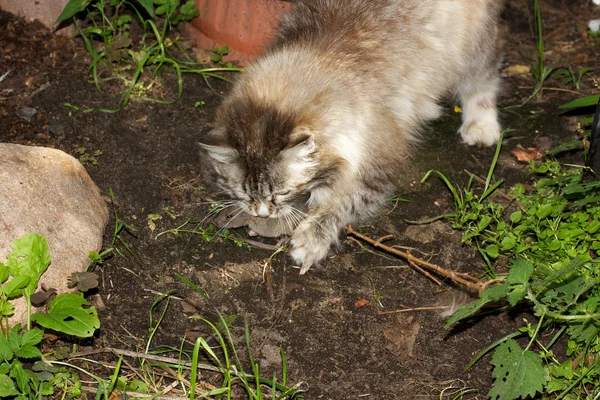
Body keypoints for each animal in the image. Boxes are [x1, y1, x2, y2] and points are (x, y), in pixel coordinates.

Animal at [199, 0, 504, 276]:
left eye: (283, 192)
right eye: (242, 193)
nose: (263, 214)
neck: (321, 57)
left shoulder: (378, 165)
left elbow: (341, 203)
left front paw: (311, 239)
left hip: (474, 44)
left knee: (484, 79)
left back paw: (481, 125)